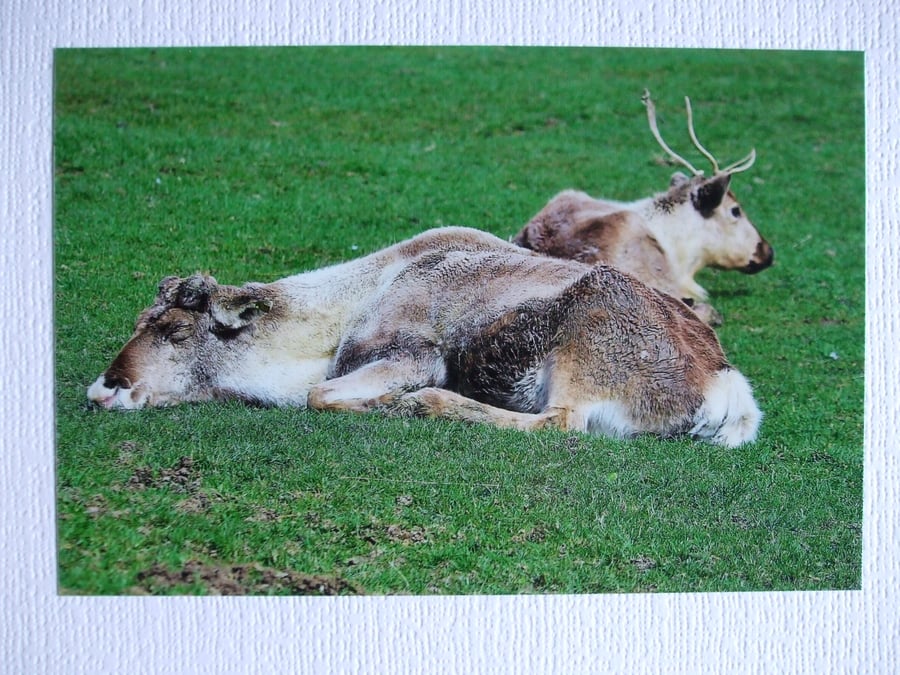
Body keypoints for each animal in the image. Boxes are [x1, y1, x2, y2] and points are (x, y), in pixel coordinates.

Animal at [87, 226, 761, 447]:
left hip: (585, 346)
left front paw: (395, 404)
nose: (105, 388)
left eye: (176, 328)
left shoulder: (413, 355)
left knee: (560, 423)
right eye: (139, 321)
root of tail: (725, 386)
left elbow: (321, 396)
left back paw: (428, 405)